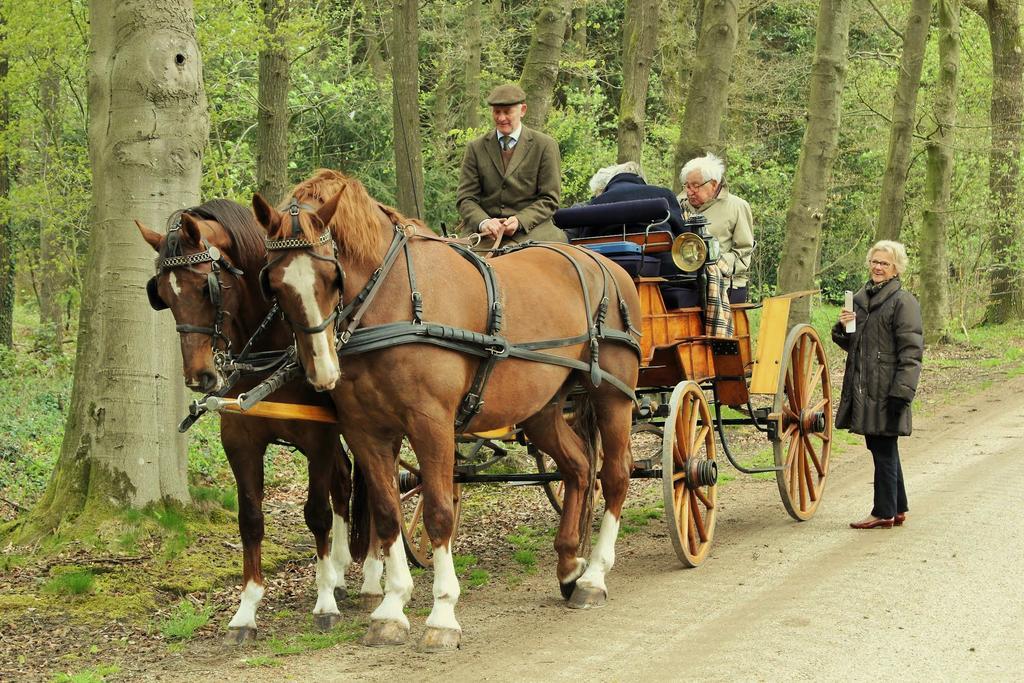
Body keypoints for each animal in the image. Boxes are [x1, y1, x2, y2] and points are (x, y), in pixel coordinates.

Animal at [136, 198, 372, 647]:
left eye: (206, 287)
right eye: (164, 295)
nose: (200, 376)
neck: (271, 353)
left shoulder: (318, 437)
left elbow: (316, 512)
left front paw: (324, 603)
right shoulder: (240, 440)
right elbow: (250, 519)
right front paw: (246, 610)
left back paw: (372, 575)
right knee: (344, 481)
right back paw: (340, 567)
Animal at [253, 171, 638, 651]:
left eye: (331, 274)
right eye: (274, 283)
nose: (322, 369)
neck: (396, 298)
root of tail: (605, 263)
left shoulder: (431, 425)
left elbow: (439, 513)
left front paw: (442, 615)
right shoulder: (366, 430)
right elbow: (387, 514)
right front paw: (391, 608)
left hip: (613, 398)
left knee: (616, 475)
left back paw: (594, 576)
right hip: (543, 408)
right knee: (579, 468)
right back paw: (569, 567)